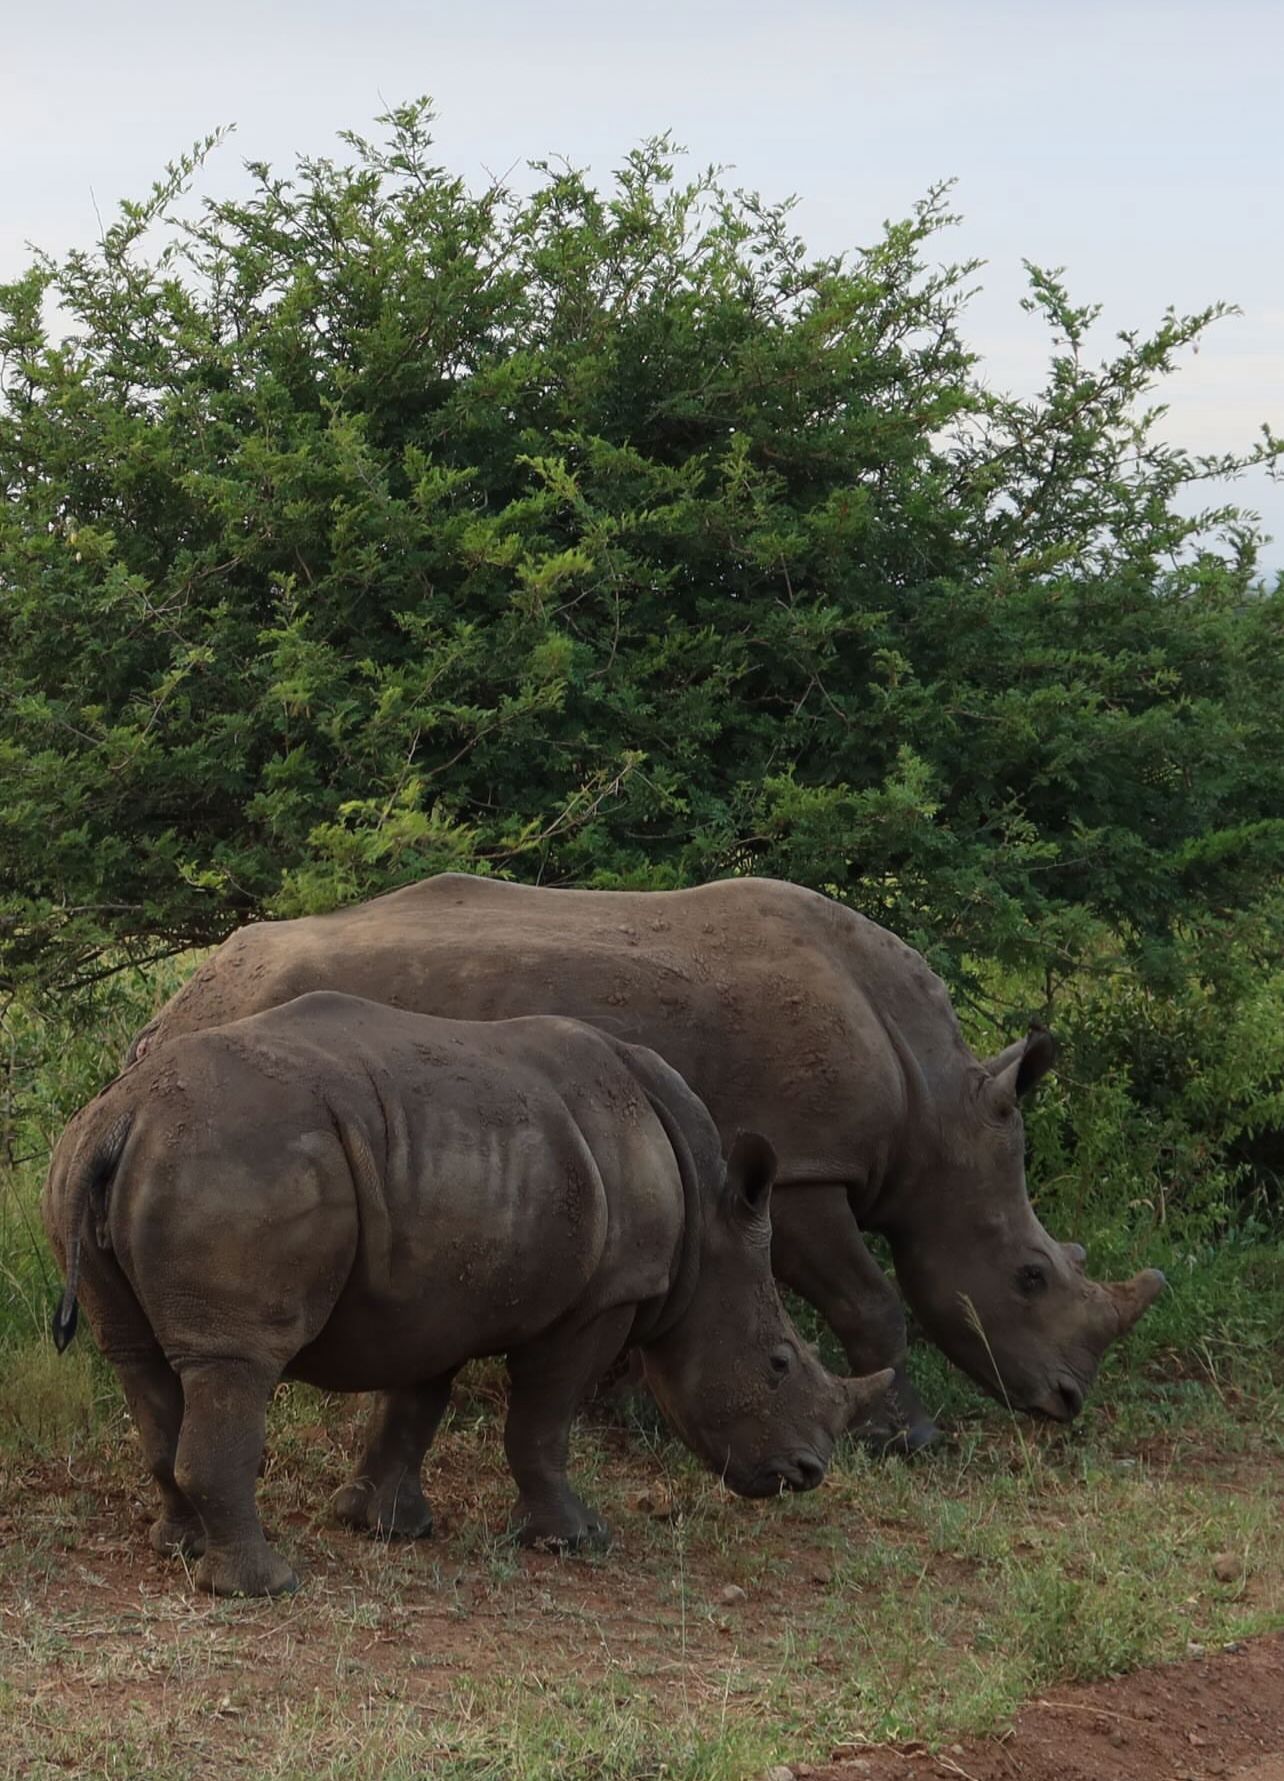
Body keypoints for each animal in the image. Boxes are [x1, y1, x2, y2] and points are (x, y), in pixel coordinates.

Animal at [46, 992, 884, 1596]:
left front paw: (383, 1525)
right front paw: (577, 1539)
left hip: (119, 1156)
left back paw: (179, 1549)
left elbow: (414, 1404)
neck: (708, 1226)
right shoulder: (602, 1299)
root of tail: (126, 1113)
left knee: (138, 1356)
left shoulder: (437, 1293)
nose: (807, 1473)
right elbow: (541, 1423)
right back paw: (267, 1587)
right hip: (236, 1159)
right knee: (237, 1360)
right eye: (778, 1362)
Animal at [129, 874, 1166, 1451]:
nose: (1067, 1402)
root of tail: (180, 1003)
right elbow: (871, 1302)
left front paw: (625, 1413)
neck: (935, 1105)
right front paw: (912, 1438)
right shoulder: (804, 1164)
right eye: (1030, 1275)